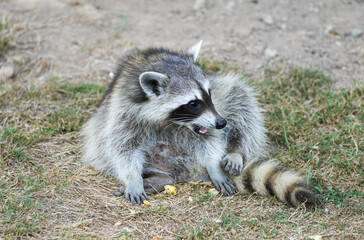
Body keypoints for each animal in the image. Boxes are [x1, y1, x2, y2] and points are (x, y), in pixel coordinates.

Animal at [81, 41, 318, 206]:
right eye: (193, 103)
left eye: (209, 94)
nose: (221, 122)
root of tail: (187, 170)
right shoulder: (122, 110)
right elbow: (121, 146)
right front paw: (132, 178)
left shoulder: (213, 110)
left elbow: (211, 138)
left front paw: (214, 165)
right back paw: (158, 176)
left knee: (241, 99)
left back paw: (235, 150)